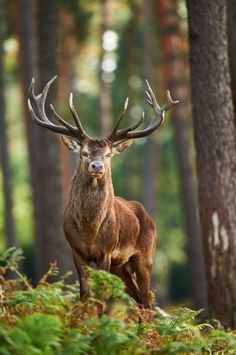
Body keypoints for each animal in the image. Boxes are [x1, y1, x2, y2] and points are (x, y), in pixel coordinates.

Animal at [27, 78, 178, 308]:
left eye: (108, 154)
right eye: (84, 152)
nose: (97, 166)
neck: (89, 230)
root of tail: (148, 216)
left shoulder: (106, 252)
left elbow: (101, 296)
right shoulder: (76, 251)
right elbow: (85, 293)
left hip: (146, 256)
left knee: (147, 299)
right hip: (121, 266)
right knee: (140, 299)